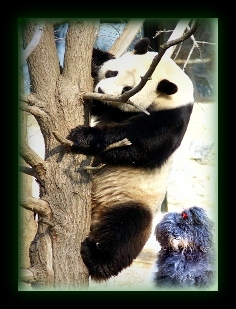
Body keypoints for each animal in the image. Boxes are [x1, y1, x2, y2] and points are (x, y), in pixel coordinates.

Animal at [67, 36, 195, 282]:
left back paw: (97, 258)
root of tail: (95, 214)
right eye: (112, 73)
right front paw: (95, 59)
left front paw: (84, 136)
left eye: (128, 89)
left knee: (126, 230)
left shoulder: (173, 117)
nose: (101, 89)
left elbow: (141, 144)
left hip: (133, 201)